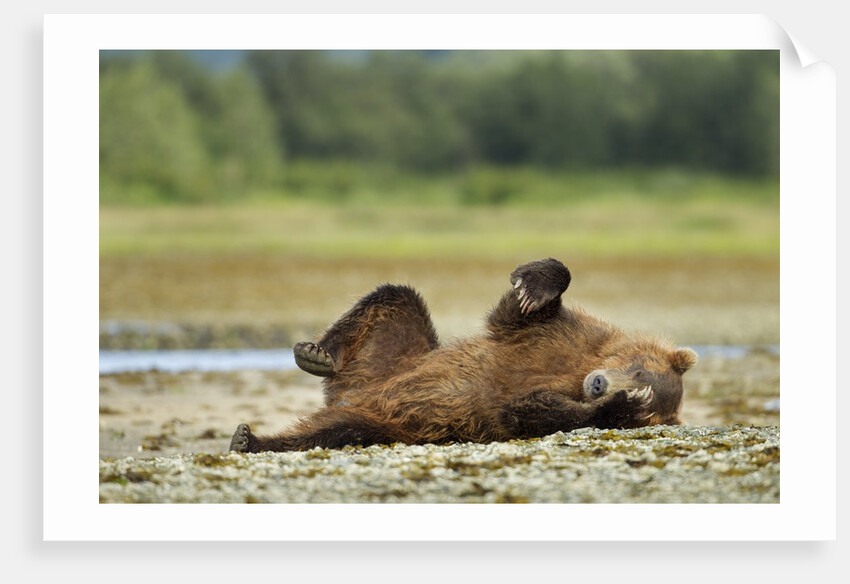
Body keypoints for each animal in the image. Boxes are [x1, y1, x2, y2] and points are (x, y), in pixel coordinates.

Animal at [229, 258, 698, 453]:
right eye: (637, 369)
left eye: (646, 405)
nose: (601, 384)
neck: (580, 366)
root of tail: (348, 395)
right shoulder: (563, 335)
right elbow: (519, 313)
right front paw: (532, 284)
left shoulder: (504, 411)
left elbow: (530, 411)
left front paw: (612, 406)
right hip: (391, 358)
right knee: (395, 296)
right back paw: (316, 354)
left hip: (383, 424)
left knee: (332, 434)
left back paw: (250, 440)